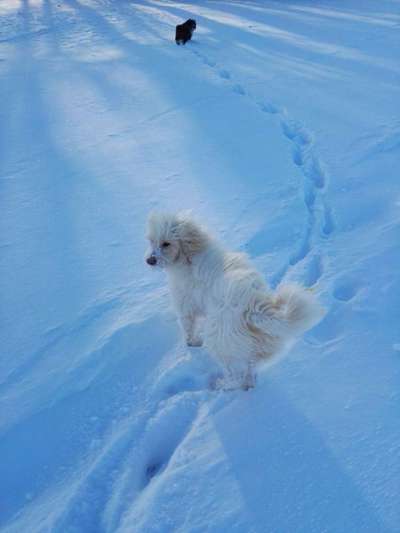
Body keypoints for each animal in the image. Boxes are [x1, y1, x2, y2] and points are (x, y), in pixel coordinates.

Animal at [145, 212, 324, 390]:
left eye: (166, 243)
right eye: (151, 241)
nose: (149, 260)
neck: (191, 254)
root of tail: (253, 305)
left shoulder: (185, 306)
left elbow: (187, 328)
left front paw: (192, 344)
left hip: (219, 342)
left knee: (234, 374)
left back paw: (224, 385)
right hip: (253, 345)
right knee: (249, 368)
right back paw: (248, 384)